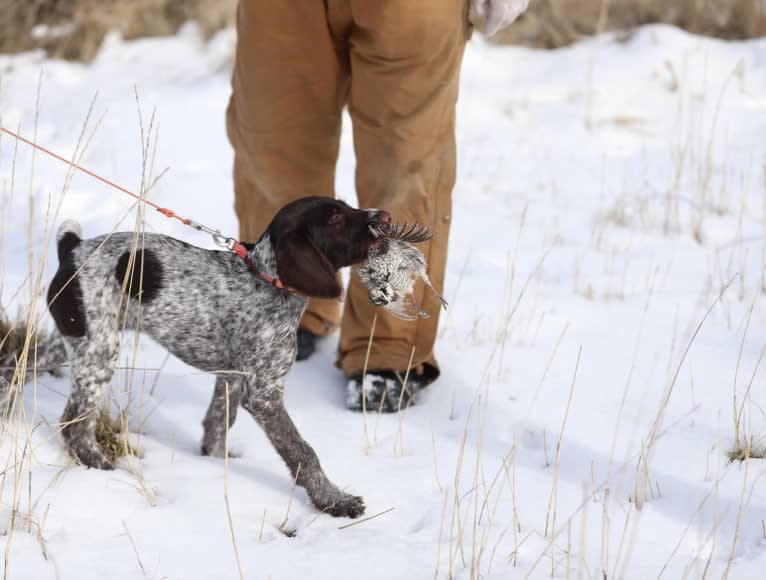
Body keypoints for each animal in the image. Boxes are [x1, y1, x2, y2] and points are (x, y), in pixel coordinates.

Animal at [45, 197, 392, 520]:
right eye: (335, 218)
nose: (387, 216)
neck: (267, 282)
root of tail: (72, 248)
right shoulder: (263, 395)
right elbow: (302, 451)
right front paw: (333, 500)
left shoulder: (231, 377)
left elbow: (217, 424)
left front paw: (213, 463)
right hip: (99, 351)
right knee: (74, 427)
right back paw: (103, 469)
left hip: (78, 343)